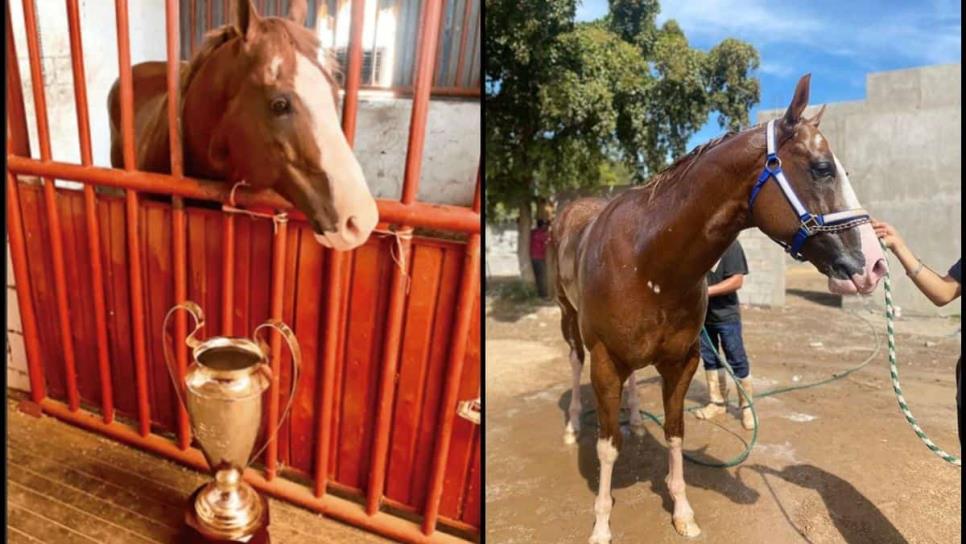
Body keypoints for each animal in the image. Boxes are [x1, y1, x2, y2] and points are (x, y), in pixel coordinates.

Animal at [552, 74, 892, 540]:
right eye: (822, 168)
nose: (875, 264)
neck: (647, 260)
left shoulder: (683, 362)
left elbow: (675, 433)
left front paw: (682, 511)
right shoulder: (605, 361)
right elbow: (607, 447)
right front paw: (602, 524)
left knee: (633, 382)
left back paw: (637, 421)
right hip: (569, 320)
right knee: (573, 361)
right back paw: (571, 426)